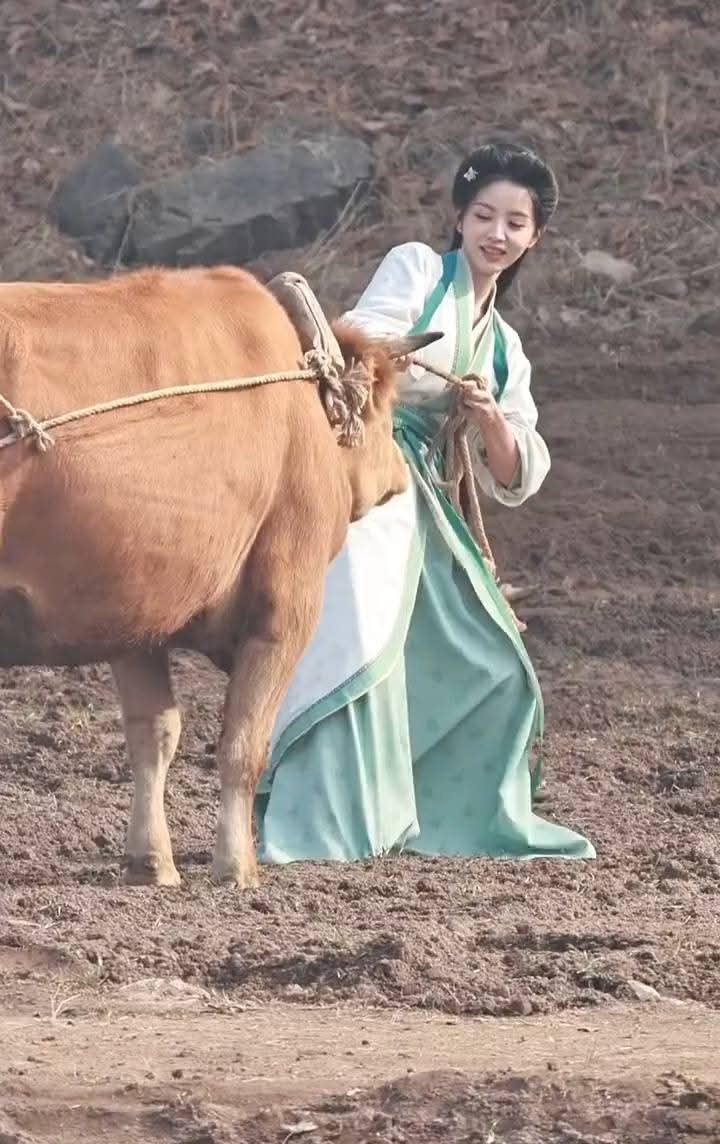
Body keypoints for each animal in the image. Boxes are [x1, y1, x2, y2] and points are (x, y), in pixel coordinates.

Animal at [0, 265, 438, 889]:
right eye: (385, 402)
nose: (400, 476)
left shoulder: (136, 612)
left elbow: (154, 734)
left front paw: (151, 862)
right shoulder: (283, 613)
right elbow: (243, 745)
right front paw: (237, 866)